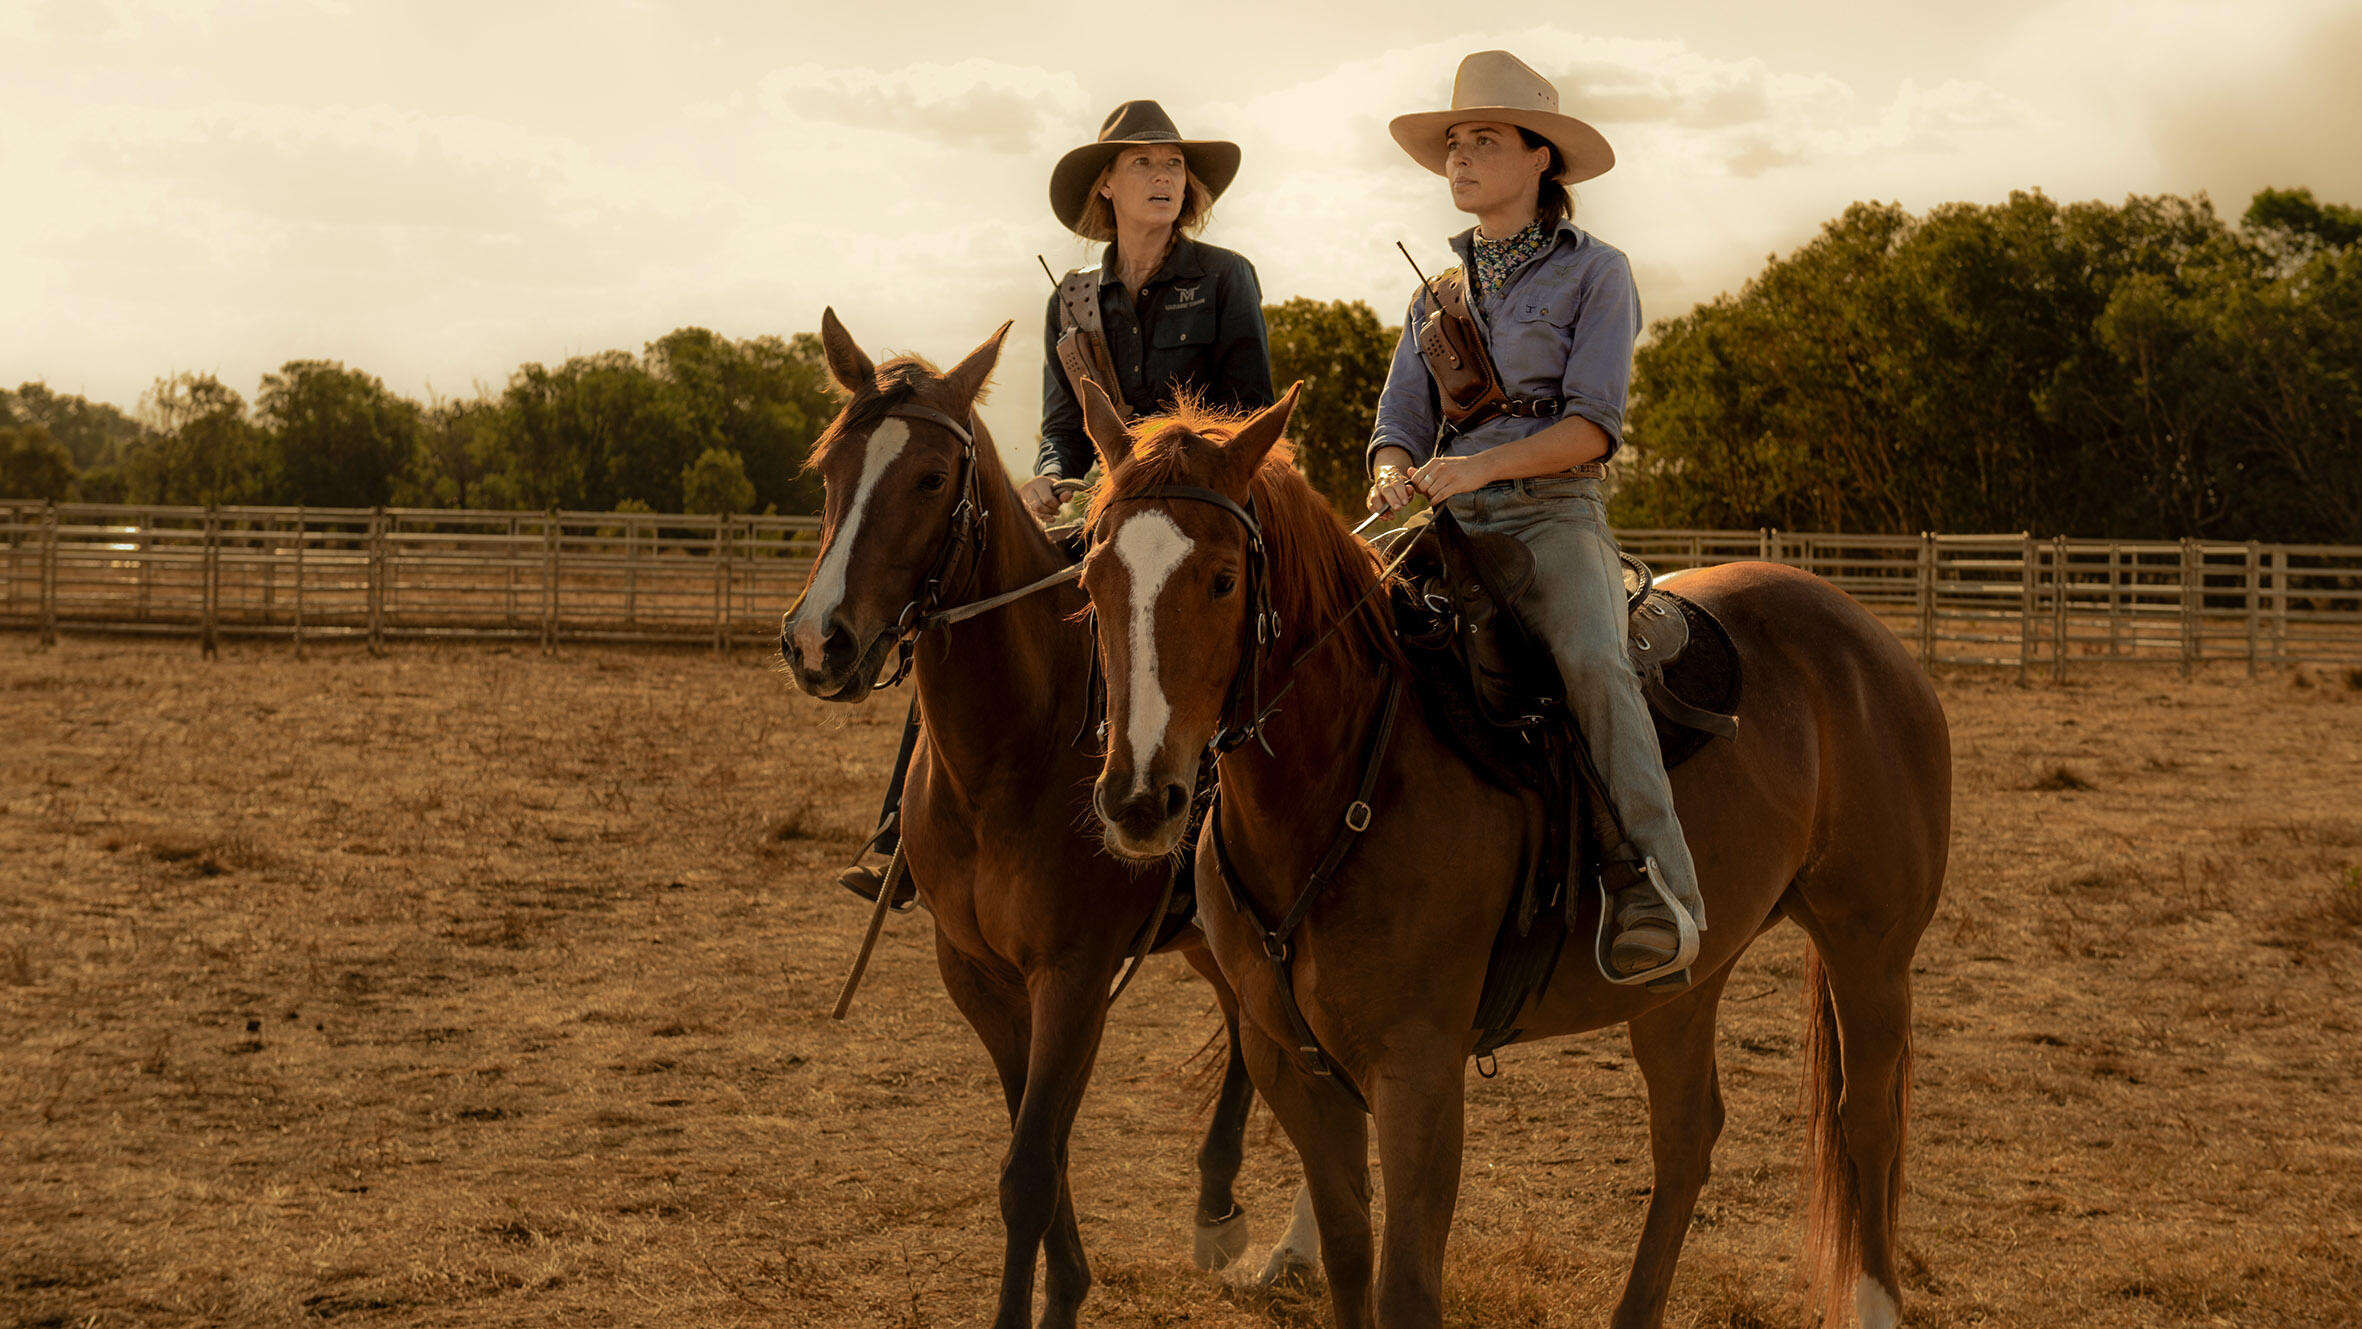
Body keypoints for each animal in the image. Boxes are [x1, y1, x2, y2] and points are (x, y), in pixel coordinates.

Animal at [784, 316, 1313, 1321]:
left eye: (931, 478)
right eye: (828, 467)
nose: (817, 641)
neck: (1010, 756)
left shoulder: (1072, 972)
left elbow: (1030, 1167)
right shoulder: (978, 973)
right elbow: (1038, 1141)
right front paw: (1067, 1284)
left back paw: (1292, 1241)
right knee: (1242, 1027)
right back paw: (1217, 1204)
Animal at [1072, 384, 1955, 1329]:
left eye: (1223, 578)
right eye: (1093, 579)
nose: (1139, 799)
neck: (1346, 776)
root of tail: (1868, 637)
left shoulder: (1419, 1071)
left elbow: (1405, 1285)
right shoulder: (1293, 1063)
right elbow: (1347, 1257)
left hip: (1870, 949)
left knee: (1868, 1123)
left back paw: (1874, 1302)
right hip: (1685, 981)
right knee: (1688, 1135)